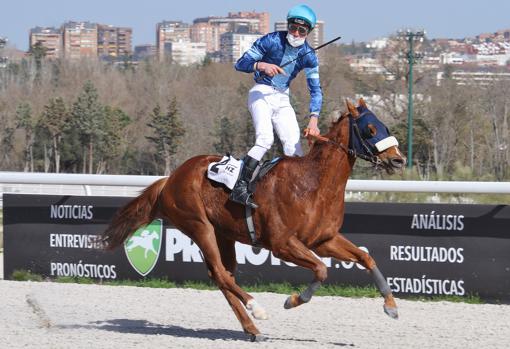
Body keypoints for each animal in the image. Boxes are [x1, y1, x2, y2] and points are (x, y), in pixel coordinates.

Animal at [101, 98, 406, 340]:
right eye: (370, 129)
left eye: (385, 126)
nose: (398, 160)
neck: (313, 184)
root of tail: (170, 178)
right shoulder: (282, 244)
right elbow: (321, 269)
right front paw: (292, 300)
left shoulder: (323, 240)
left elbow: (366, 258)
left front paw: (391, 306)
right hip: (199, 227)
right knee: (221, 273)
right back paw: (256, 309)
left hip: (223, 234)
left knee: (222, 275)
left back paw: (251, 328)